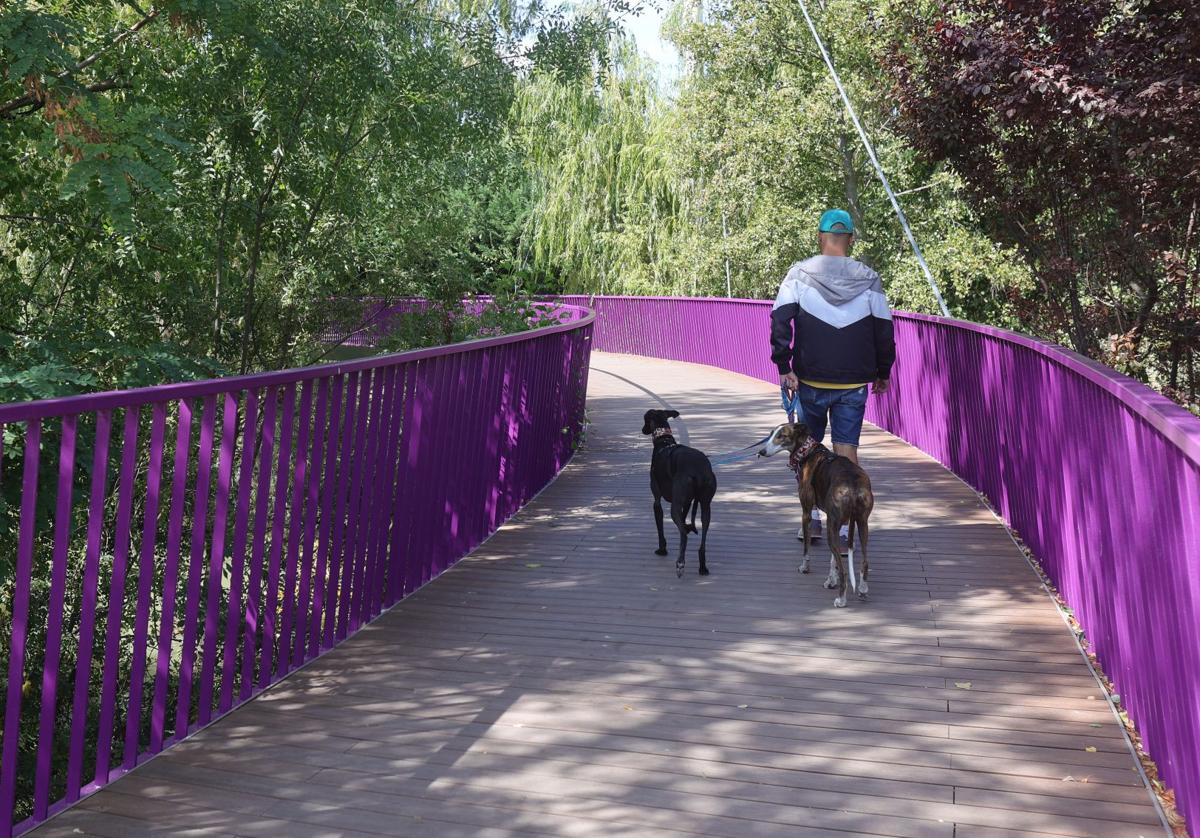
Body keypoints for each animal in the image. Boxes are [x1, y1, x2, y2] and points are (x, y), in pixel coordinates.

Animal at [758, 420, 873, 602]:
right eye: (771, 434)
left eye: (782, 436)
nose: (761, 452)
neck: (808, 451)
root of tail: (853, 485)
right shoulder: (836, 522)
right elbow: (834, 559)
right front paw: (830, 580)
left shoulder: (806, 513)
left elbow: (806, 547)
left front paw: (805, 567)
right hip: (861, 524)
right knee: (864, 562)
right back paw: (862, 589)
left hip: (836, 527)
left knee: (844, 571)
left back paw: (841, 599)